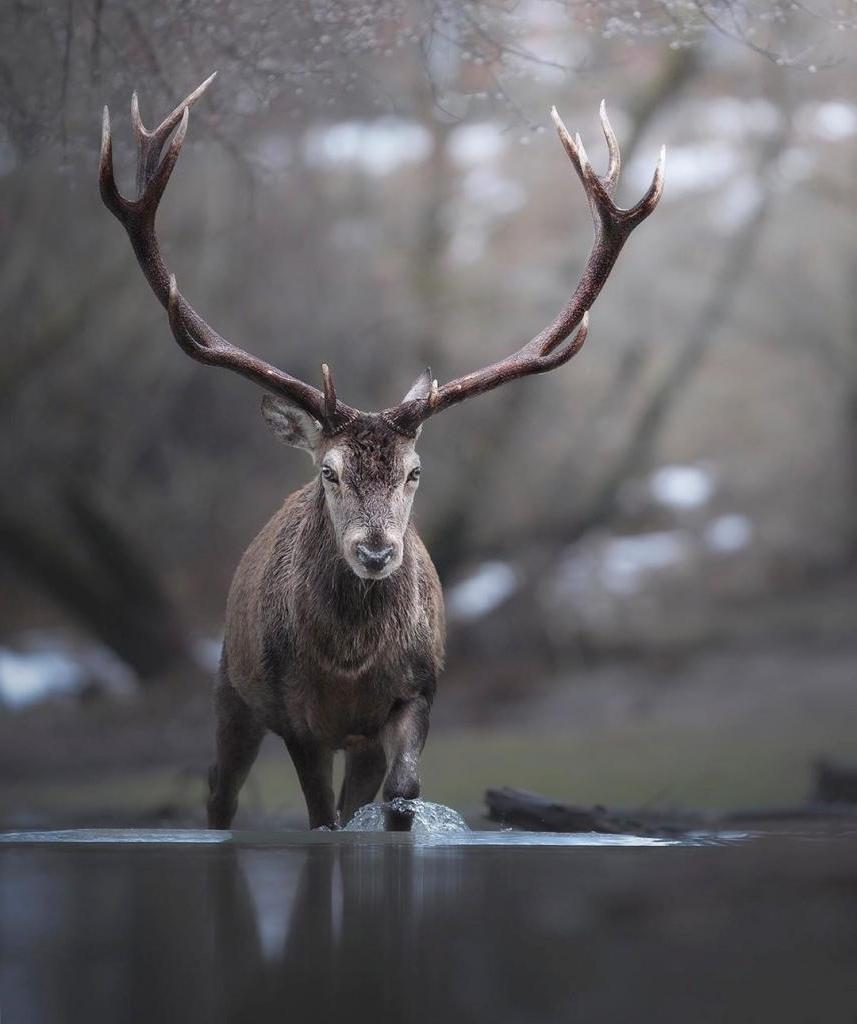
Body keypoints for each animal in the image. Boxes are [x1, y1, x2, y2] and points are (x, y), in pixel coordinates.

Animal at [98, 74, 663, 831]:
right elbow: (320, 820)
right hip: (229, 684)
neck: (347, 671)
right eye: (329, 472)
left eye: (414, 472)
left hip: (347, 736)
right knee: (219, 788)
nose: (375, 550)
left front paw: (400, 815)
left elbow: (402, 793)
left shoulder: (417, 692)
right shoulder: (295, 717)